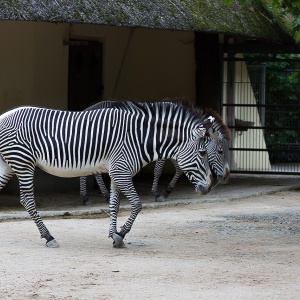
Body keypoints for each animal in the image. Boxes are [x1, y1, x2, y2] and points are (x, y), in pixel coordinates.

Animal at [0, 102, 216, 247]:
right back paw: (49, 237)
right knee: (27, 200)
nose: (208, 188)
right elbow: (137, 204)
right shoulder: (121, 171)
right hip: (23, 162)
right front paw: (121, 234)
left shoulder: (116, 172)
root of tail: (4, 116)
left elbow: (115, 204)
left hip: (8, 164)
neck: (138, 138)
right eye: (202, 153)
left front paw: (113, 234)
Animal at [79, 101, 230, 204]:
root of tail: (86, 109)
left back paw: (96, 195)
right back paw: (88, 196)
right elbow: (158, 170)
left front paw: (167, 191)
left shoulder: (178, 149)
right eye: (221, 151)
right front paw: (158, 193)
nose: (225, 178)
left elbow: (179, 168)